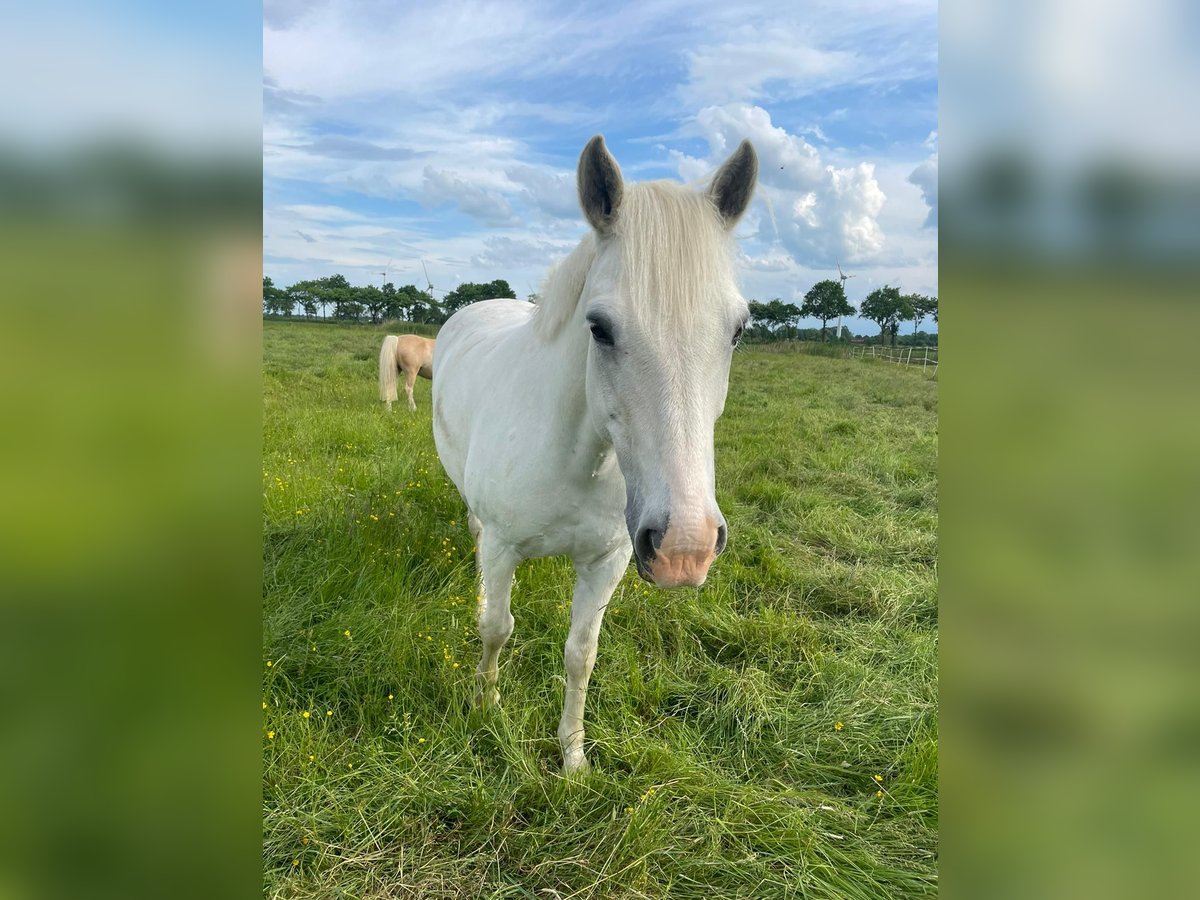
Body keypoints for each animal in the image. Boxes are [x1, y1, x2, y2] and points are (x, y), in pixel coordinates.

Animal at [432, 135, 753, 777]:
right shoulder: (503, 548)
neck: (576, 457)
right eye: (599, 328)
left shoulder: (609, 560)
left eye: (737, 331)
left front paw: (573, 753)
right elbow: (496, 627)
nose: (685, 548)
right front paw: (486, 705)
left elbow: (582, 652)